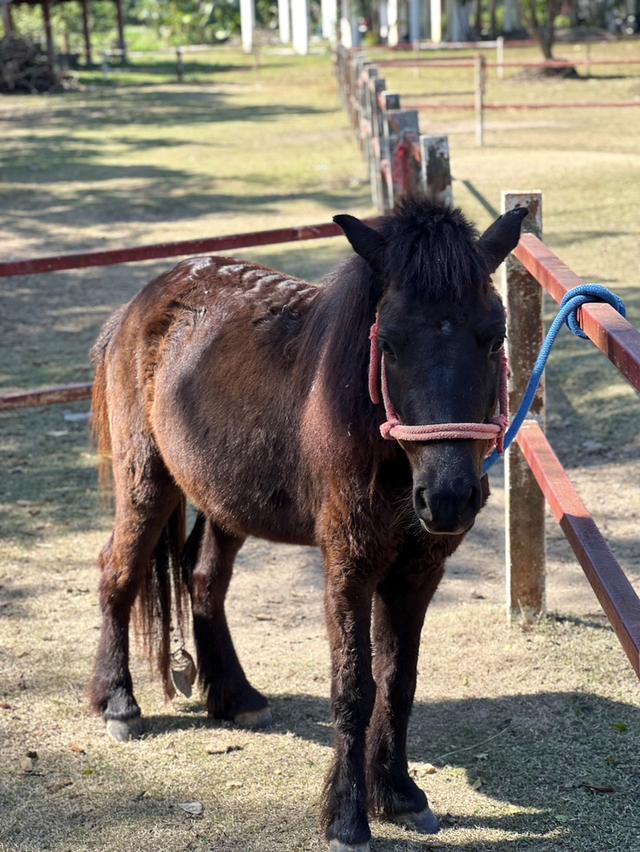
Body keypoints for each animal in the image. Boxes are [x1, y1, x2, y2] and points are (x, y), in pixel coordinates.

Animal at [88, 196, 527, 851]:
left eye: (492, 335)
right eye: (388, 343)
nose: (449, 499)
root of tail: (141, 303)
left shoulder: (417, 572)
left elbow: (398, 681)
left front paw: (399, 795)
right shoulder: (349, 565)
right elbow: (354, 686)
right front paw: (348, 817)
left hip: (225, 501)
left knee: (203, 579)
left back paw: (236, 696)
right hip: (146, 480)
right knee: (119, 573)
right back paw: (118, 704)